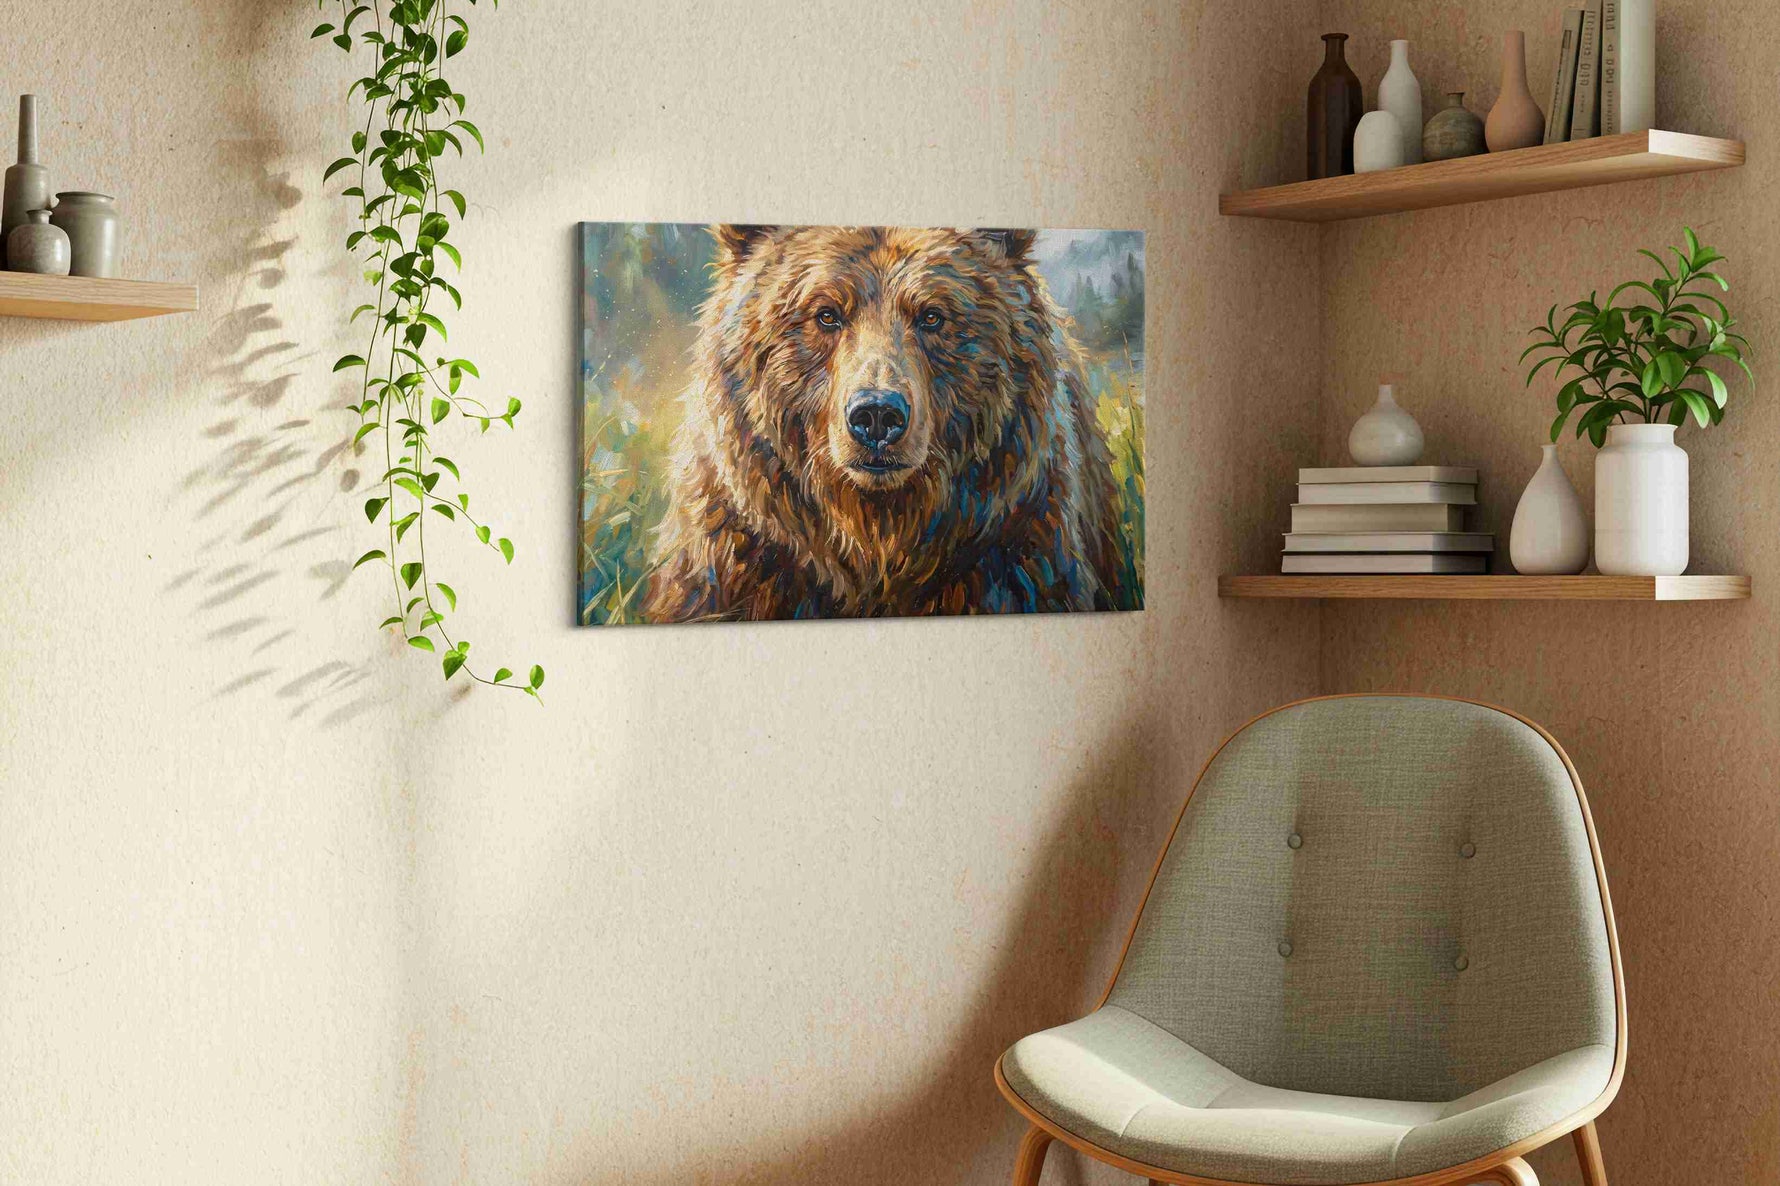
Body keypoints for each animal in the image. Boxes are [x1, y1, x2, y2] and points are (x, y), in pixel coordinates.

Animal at [643, 224, 1137, 623]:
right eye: (826, 313)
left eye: (932, 315)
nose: (877, 414)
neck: (876, 540)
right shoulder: (735, 561)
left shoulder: (1017, 553)